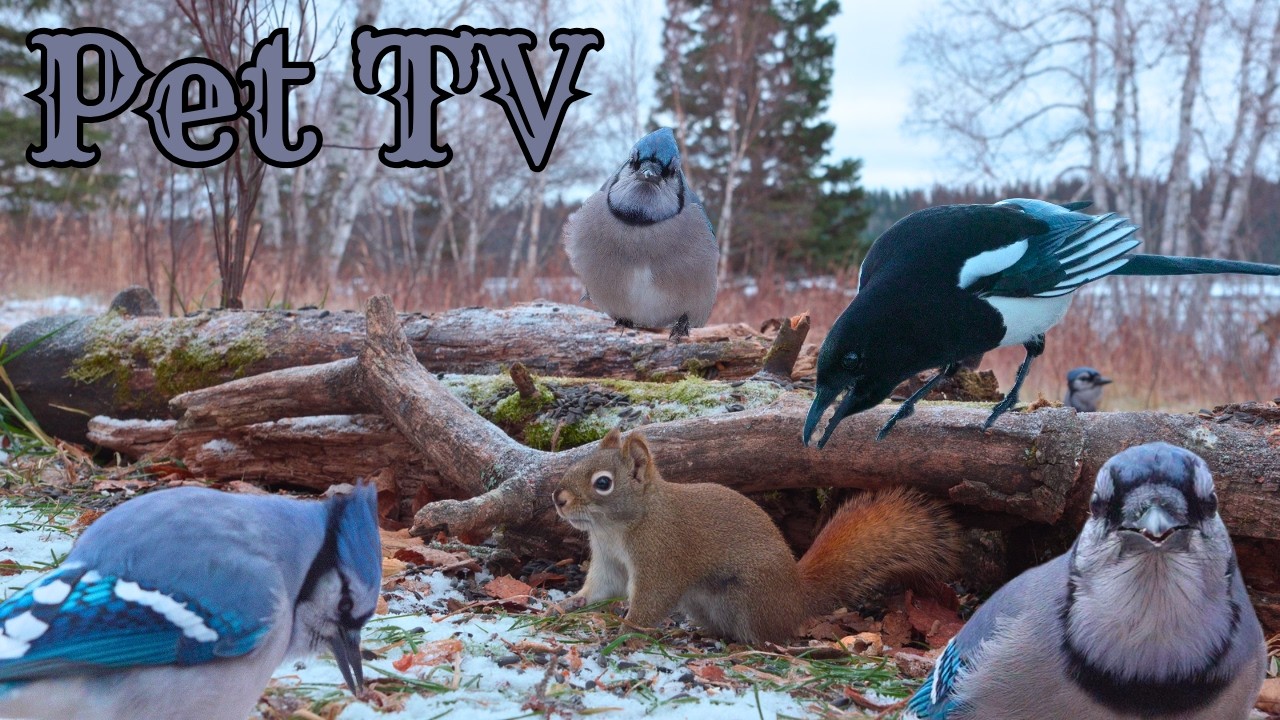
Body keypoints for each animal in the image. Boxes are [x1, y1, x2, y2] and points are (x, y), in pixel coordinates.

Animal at [551, 427, 961, 644]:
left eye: (603, 483)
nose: (558, 498)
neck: (617, 528)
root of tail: (797, 598)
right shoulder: (609, 561)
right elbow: (602, 588)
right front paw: (570, 603)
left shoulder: (661, 556)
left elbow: (650, 600)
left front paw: (626, 630)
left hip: (749, 598)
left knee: (769, 636)